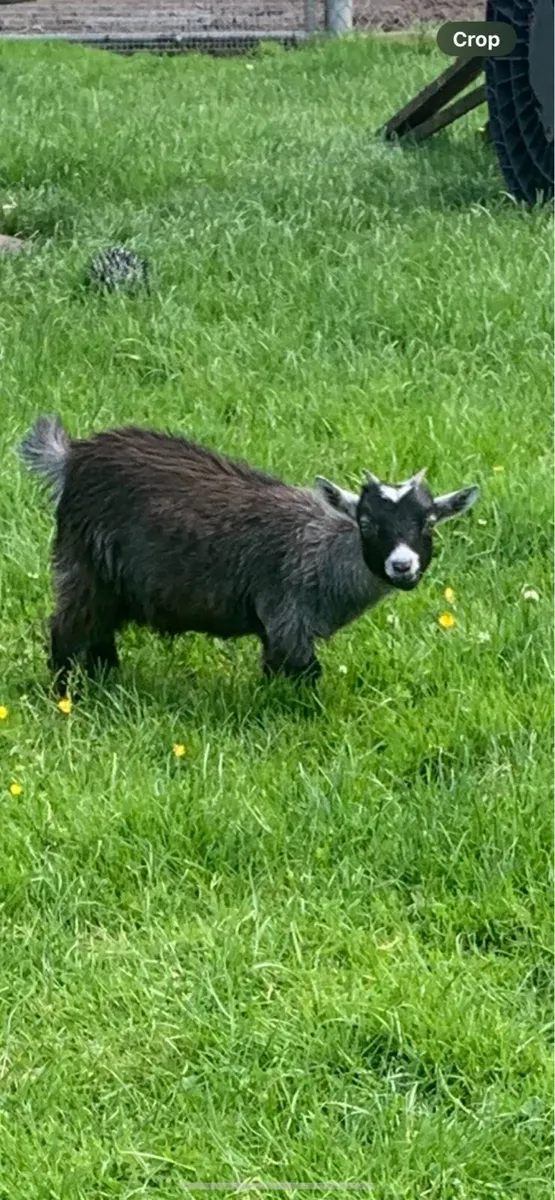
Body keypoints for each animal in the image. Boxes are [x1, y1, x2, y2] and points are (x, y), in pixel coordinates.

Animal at [19, 416, 479, 694]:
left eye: (428, 523)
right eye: (367, 524)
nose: (402, 565)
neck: (322, 550)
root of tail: (72, 458)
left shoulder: (278, 631)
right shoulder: (287, 617)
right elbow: (305, 675)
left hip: (110, 584)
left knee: (99, 634)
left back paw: (107, 683)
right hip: (81, 567)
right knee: (65, 630)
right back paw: (67, 695)